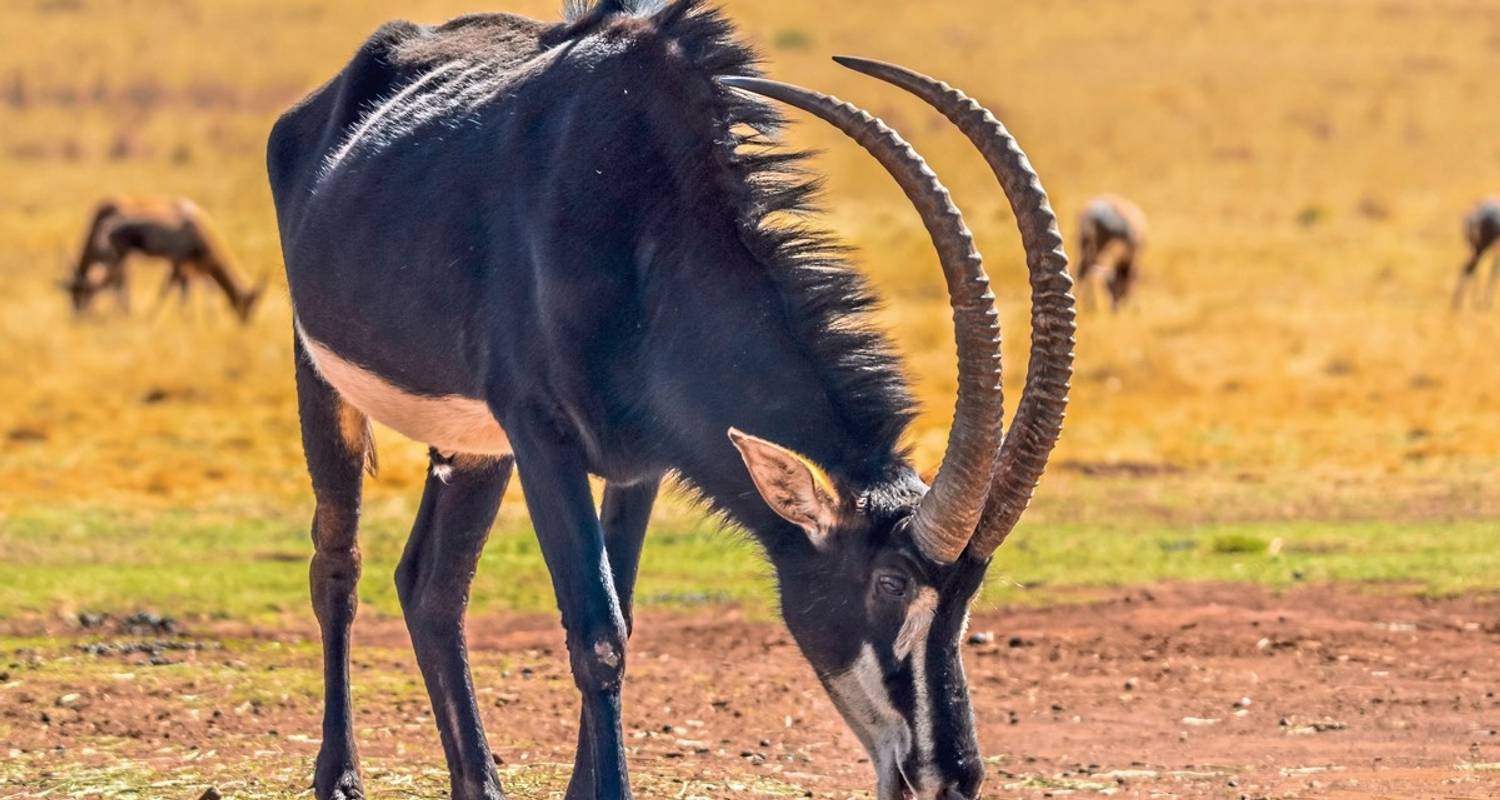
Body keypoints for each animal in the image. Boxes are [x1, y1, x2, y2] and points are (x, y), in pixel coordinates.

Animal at [63, 195, 267, 321]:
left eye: (252, 305)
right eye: (247, 303)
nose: (246, 322)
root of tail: (108, 224)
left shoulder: (187, 269)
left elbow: (184, 291)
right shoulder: (180, 265)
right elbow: (168, 291)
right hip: (120, 259)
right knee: (116, 283)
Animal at [264, 1, 1074, 798]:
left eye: (967, 592)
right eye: (890, 580)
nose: (953, 777)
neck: (644, 221)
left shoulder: (639, 465)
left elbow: (621, 610)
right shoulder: (542, 436)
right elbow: (597, 637)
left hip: (474, 447)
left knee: (433, 586)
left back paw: (480, 784)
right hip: (324, 383)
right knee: (339, 566)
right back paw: (339, 778)